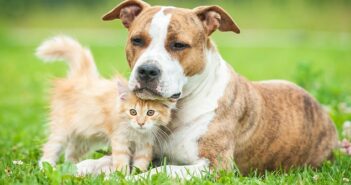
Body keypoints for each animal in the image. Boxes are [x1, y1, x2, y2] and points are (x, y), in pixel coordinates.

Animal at [36, 36, 175, 173]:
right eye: (133, 112)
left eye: (150, 113)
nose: (140, 123)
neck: (136, 132)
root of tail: (82, 77)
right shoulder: (119, 140)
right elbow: (121, 162)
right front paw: (122, 175)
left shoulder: (145, 145)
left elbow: (140, 164)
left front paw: (138, 174)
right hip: (62, 129)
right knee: (50, 147)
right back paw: (46, 167)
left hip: (83, 137)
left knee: (71, 153)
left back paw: (71, 168)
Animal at [76, 0, 338, 176]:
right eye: (137, 40)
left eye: (179, 45)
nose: (147, 71)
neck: (176, 110)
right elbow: (101, 161)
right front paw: (84, 166)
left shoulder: (214, 166)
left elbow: (162, 171)